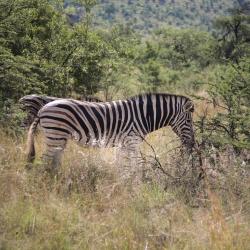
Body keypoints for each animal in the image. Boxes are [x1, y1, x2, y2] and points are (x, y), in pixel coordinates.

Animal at [26, 94, 195, 168]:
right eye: (189, 121)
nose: (192, 144)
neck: (142, 115)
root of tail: (42, 109)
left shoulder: (124, 144)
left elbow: (123, 165)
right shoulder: (131, 142)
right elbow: (133, 165)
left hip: (58, 138)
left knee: (53, 160)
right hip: (55, 135)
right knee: (45, 160)